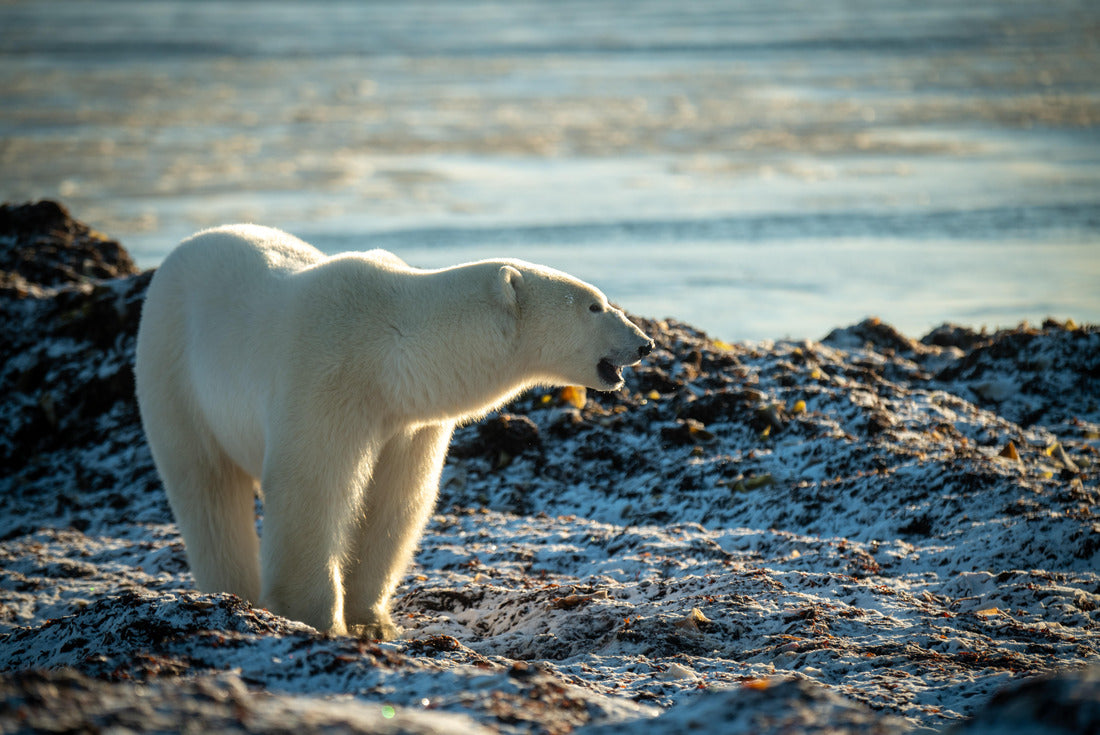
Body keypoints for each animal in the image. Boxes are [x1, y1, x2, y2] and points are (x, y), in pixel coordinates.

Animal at [134, 224, 653, 639]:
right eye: (594, 305)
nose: (645, 343)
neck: (389, 349)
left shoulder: (409, 422)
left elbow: (396, 501)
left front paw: (374, 621)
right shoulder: (324, 381)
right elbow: (313, 492)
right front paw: (323, 621)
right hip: (174, 371)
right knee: (206, 489)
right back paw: (233, 594)